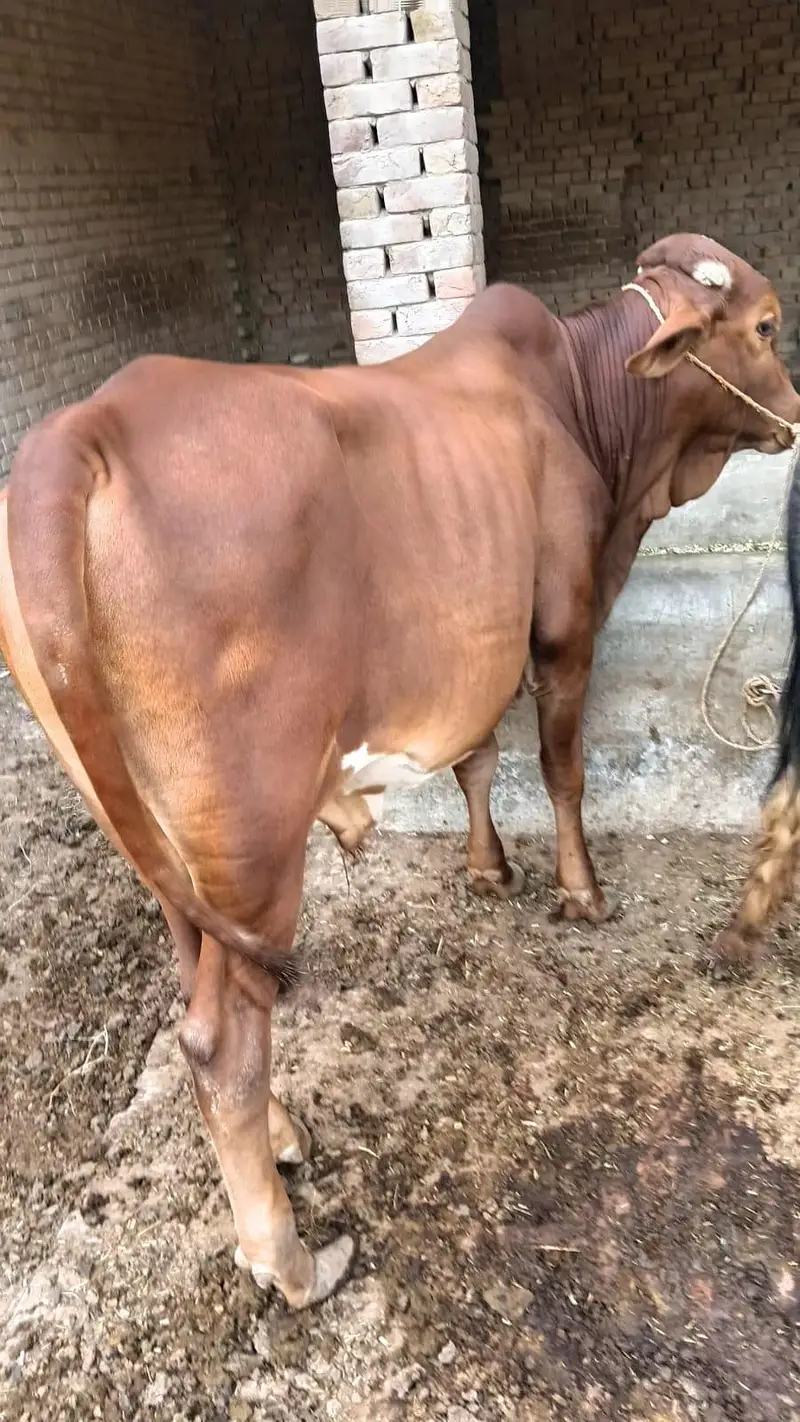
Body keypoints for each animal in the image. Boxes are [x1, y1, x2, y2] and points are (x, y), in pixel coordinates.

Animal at [1, 233, 798, 1310]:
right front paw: (580, 891)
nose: (793, 412)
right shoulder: (562, 623)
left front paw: (487, 869)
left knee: (192, 982)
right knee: (222, 1038)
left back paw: (283, 1136)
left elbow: (478, 761)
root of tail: (82, 427)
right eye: (765, 326)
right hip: (253, 839)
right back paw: (288, 1257)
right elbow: (560, 767)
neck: (584, 402)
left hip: (149, 833)